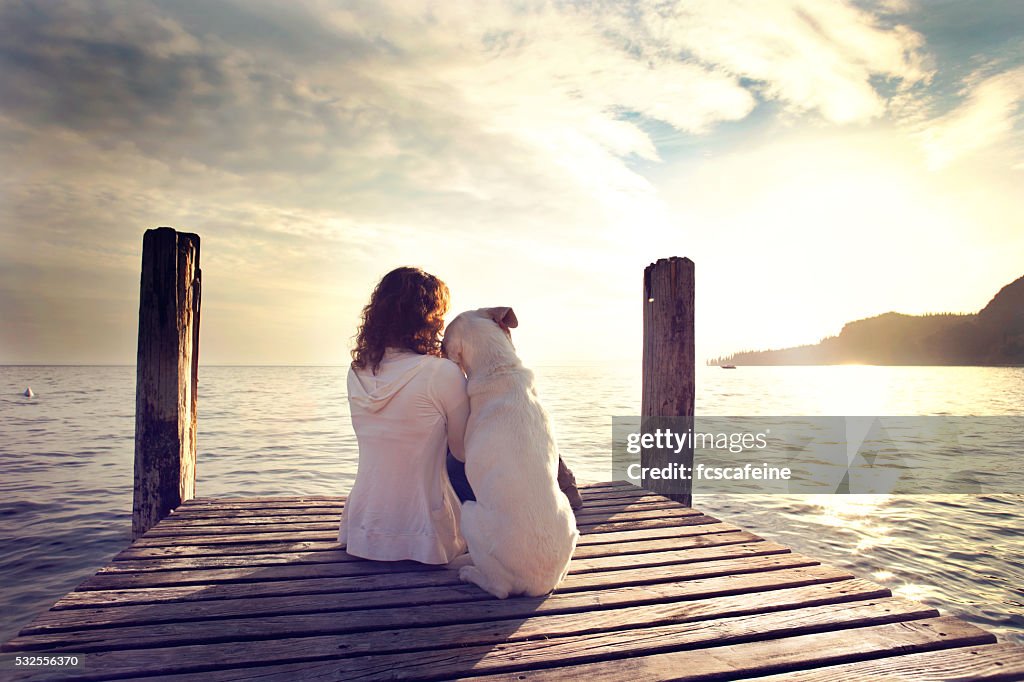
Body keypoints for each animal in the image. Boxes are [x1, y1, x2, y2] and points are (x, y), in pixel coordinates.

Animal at [444, 305, 581, 598]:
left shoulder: (461, 449)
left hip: (469, 512)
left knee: (499, 589)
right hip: (569, 517)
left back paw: (470, 573)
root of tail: (537, 585)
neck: (499, 368)